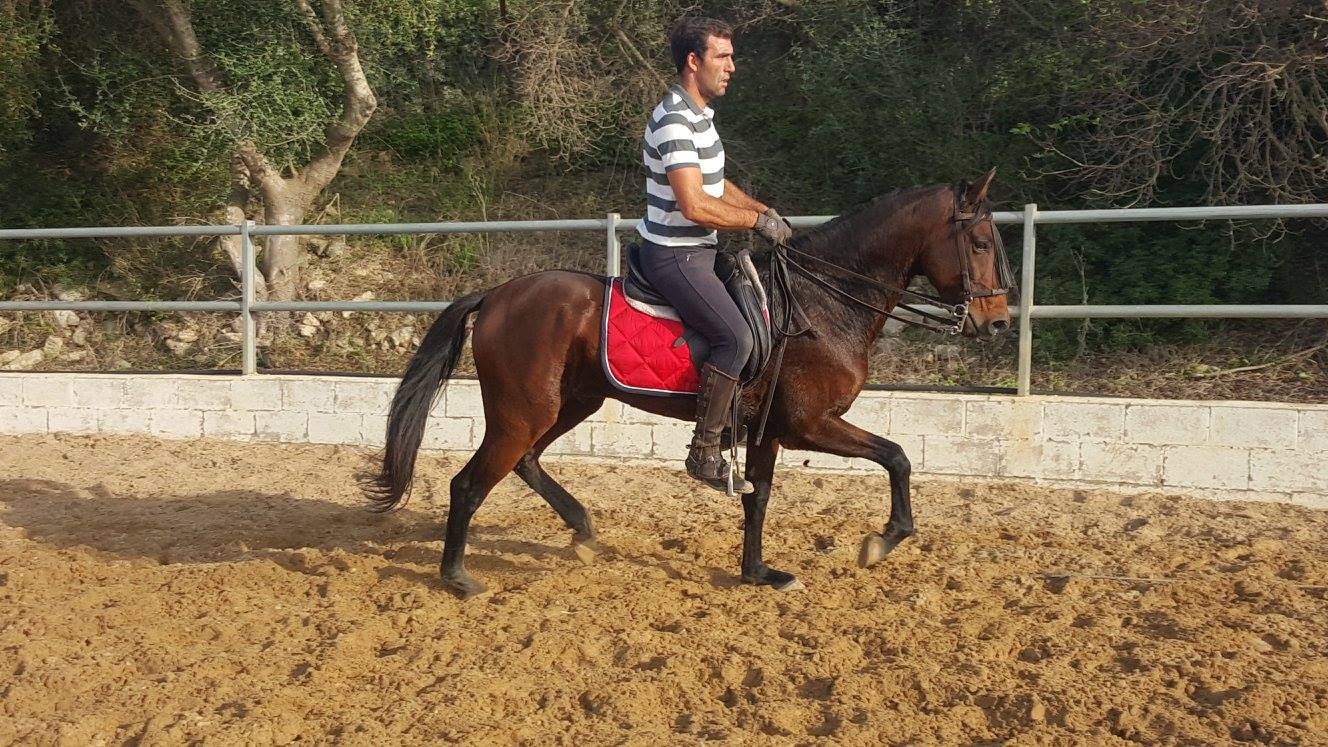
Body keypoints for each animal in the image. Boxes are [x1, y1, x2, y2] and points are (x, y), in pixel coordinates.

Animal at [364, 171, 1013, 598]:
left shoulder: (769, 430)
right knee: (469, 484)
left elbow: (759, 498)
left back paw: (582, 531)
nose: (999, 321)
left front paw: (759, 573)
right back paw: (457, 578)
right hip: (524, 410)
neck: (821, 303)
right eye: (980, 243)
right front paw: (884, 540)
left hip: (570, 403)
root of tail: (498, 294)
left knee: (525, 463)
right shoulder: (810, 425)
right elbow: (898, 457)